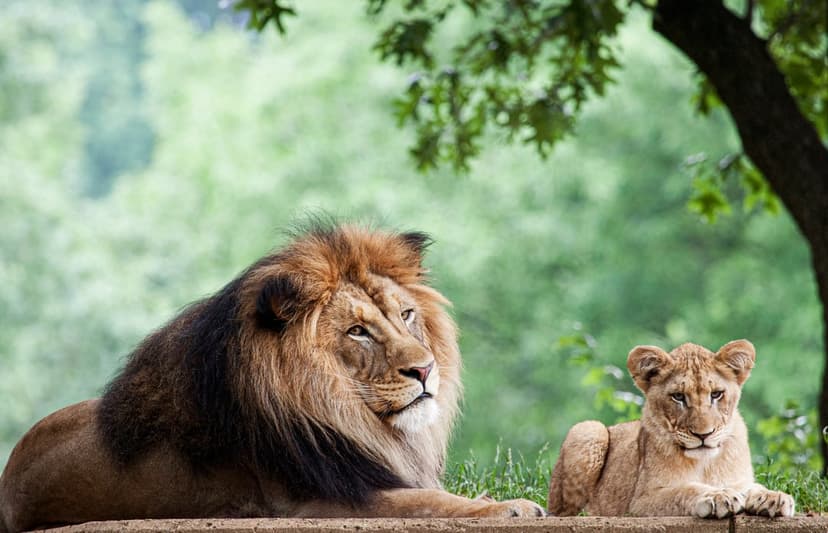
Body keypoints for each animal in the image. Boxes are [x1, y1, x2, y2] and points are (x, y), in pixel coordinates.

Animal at [0, 224, 544, 533]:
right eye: (357, 331)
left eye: (406, 315)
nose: (426, 368)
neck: (345, 413)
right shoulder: (312, 503)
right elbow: (428, 503)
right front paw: (511, 507)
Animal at [548, 340, 795, 518]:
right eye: (678, 397)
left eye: (716, 394)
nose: (703, 434)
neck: (705, 464)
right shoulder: (640, 502)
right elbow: (684, 490)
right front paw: (717, 496)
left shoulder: (740, 480)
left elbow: (753, 487)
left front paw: (773, 498)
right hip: (589, 429)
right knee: (566, 512)